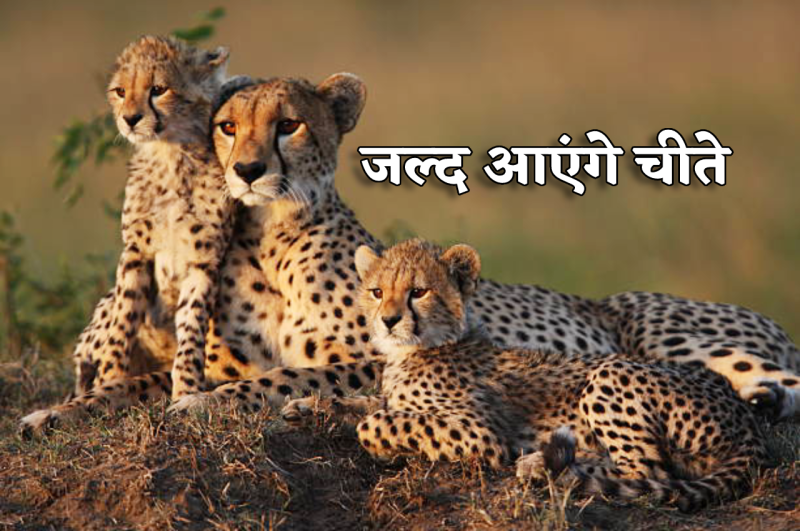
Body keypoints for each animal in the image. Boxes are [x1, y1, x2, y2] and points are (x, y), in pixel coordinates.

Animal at [21, 35, 241, 432]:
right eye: (120, 91)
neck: (170, 155)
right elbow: (122, 323)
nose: (130, 118)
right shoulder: (136, 254)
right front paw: (111, 379)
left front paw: (186, 390)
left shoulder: (204, 261)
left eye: (158, 89)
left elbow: (191, 330)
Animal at [328, 238, 771, 512]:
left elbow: (377, 423)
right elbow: (365, 403)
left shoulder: (481, 434)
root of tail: (744, 416)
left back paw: (543, 467)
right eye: (377, 292)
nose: (388, 321)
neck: (421, 348)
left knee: (647, 471)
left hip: (610, 373)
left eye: (418, 292)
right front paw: (327, 406)